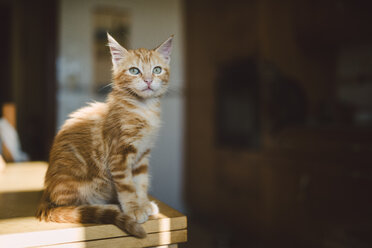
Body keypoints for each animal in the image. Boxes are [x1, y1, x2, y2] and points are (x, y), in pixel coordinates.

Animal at [36, 33, 173, 238]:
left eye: (157, 70)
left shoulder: (142, 155)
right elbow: (127, 186)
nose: (148, 80)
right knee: (73, 207)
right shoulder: (119, 155)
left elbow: (140, 182)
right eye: (134, 71)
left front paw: (143, 204)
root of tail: (48, 196)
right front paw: (134, 209)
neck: (143, 109)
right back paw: (110, 207)